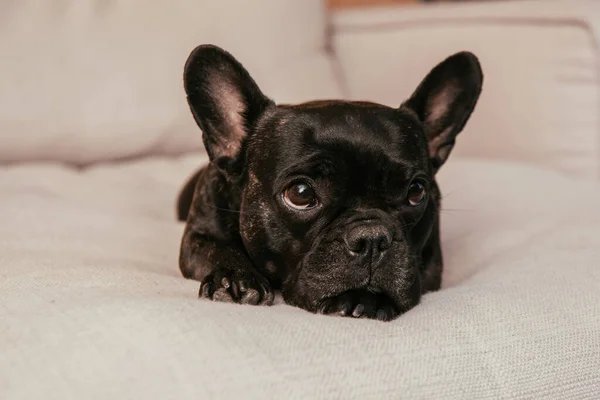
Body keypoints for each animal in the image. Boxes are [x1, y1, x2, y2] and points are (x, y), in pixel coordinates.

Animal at [175, 44, 482, 322]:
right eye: (300, 194)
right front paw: (236, 276)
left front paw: (364, 299)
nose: (372, 237)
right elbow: (216, 249)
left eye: (416, 192)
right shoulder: (197, 235)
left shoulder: (431, 266)